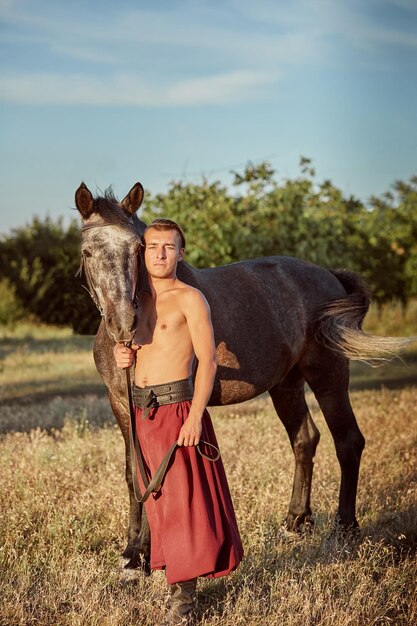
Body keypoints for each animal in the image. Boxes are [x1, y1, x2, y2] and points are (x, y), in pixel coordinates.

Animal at [74, 179, 410, 572]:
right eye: (88, 252)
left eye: (137, 247)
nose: (124, 324)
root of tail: (330, 277)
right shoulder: (121, 404)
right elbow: (134, 473)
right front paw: (132, 553)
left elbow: (153, 471)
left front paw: (144, 554)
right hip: (286, 385)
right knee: (305, 439)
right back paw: (295, 522)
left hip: (328, 376)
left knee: (348, 441)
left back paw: (344, 530)